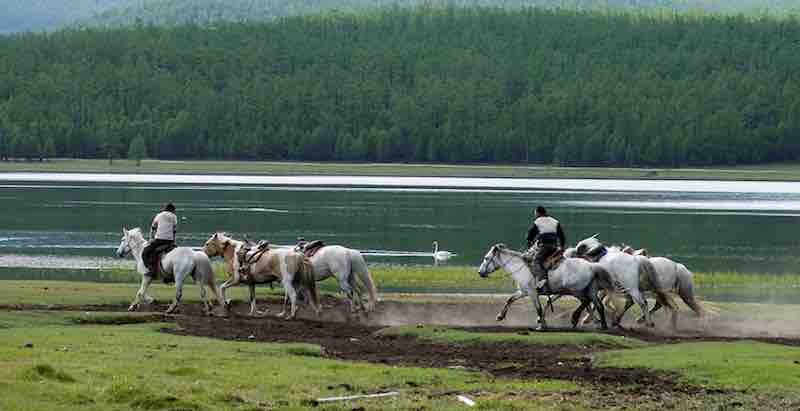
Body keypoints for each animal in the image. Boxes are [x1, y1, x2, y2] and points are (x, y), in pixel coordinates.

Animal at [476, 245, 612, 332]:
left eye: (486, 258)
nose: (480, 272)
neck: (521, 268)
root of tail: (591, 266)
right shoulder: (523, 291)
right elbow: (510, 299)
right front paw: (500, 316)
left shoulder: (532, 292)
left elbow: (538, 308)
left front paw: (541, 326)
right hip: (590, 290)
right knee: (598, 305)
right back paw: (602, 325)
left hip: (577, 291)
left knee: (586, 302)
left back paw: (576, 319)